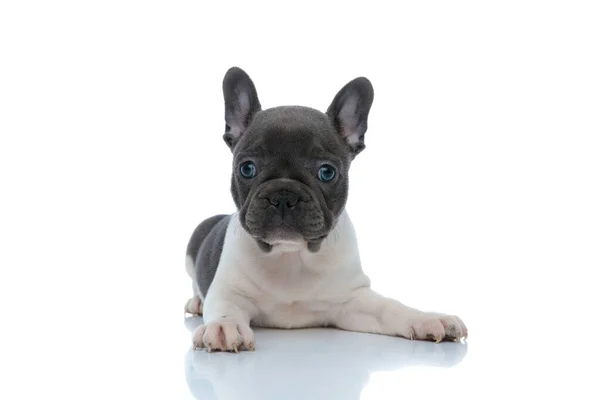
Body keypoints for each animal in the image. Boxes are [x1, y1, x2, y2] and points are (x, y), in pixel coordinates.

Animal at [185, 67, 466, 352]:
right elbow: (225, 308)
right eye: (247, 168)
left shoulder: (353, 300)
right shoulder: (228, 292)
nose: (284, 195)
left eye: (327, 172)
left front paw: (427, 318)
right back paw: (196, 302)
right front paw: (223, 327)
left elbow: (391, 308)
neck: (290, 255)